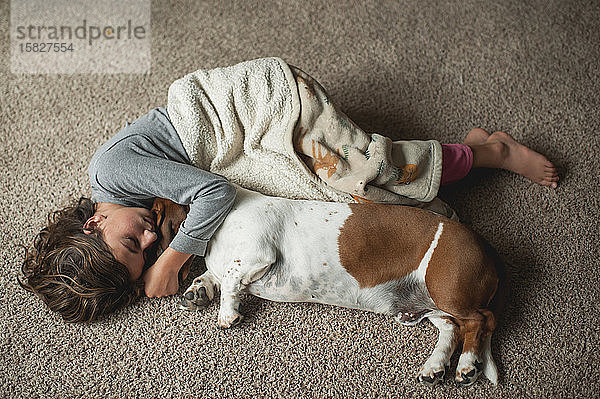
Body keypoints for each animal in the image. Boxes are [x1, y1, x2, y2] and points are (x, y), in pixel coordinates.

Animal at [151, 189, 506, 390]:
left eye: (153, 217)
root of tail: (489, 251)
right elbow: (214, 276)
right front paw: (198, 290)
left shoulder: (256, 256)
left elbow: (229, 279)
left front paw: (227, 314)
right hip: (432, 305)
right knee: (452, 329)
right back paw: (434, 368)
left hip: (449, 292)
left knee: (482, 321)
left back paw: (468, 366)